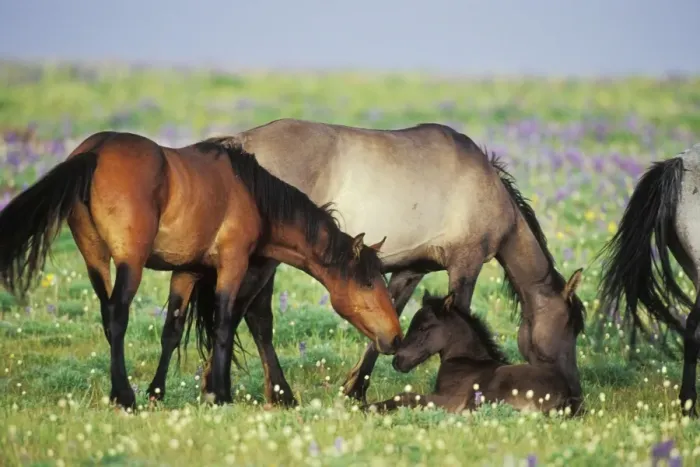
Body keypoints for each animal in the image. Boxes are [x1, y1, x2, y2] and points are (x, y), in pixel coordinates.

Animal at [0, 130, 403, 410]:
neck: (251, 194)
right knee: (117, 315)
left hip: (95, 259)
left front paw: (157, 392)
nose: (395, 338)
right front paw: (219, 394)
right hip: (129, 263)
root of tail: (96, 150)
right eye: (369, 283)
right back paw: (123, 396)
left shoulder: (187, 272)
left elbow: (172, 331)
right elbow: (225, 323)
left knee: (107, 316)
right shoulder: (232, 263)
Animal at [363, 289, 582, 415]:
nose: (397, 361)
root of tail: (566, 397)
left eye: (424, 327)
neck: (465, 361)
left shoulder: (449, 400)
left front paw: (367, 407)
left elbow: (406, 396)